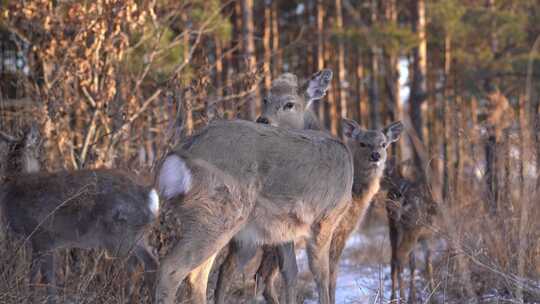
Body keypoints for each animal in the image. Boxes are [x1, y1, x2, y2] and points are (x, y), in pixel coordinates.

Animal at [0, 124, 159, 302]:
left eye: (19, 152)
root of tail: (149, 194)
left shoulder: (43, 235)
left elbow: (46, 277)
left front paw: (46, 299)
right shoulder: (38, 242)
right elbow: (35, 275)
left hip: (122, 233)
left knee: (143, 263)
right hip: (135, 234)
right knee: (145, 263)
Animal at [382, 160, 436, 302]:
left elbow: (413, 265)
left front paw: (413, 295)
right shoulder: (426, 237)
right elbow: (428, 263)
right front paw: (432, 294)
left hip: (393, 227)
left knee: (393, 260)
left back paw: (394, 298)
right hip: (411, 228)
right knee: (400, 257)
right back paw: (402, 297)